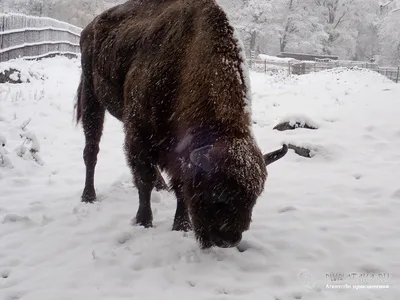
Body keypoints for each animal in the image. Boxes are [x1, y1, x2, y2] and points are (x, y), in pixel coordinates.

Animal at [74, 0, 288, 248]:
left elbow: (179, 186)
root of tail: (89, 28)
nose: (228, 240)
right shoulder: (138, 133)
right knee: (91, 150)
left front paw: (181, 225)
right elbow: (144, 179)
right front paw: (144, 221)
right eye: (218, 192)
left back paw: (160, 186)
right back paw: (88, 196)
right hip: (91, 98)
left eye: (254, 197)